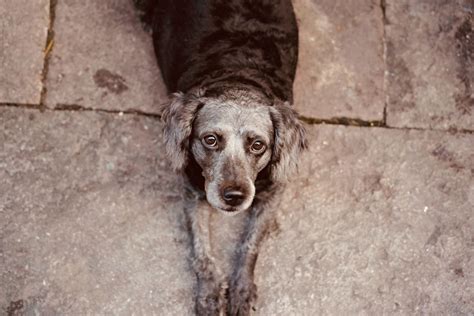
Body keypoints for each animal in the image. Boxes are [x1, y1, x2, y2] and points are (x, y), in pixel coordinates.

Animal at [134, 1, 308, 314]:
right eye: (211, 139)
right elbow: (201, 252)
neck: (237, 76)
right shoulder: (192, 193)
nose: (234, 196)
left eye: (258, 145)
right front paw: (209, 295)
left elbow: (250, 244)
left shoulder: (274, 191)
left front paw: (242, 290)